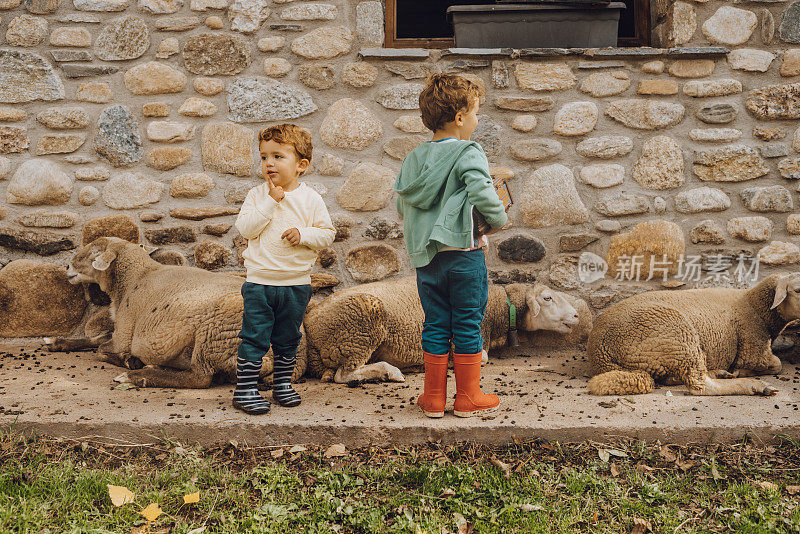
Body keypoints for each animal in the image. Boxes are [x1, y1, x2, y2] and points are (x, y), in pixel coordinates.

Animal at [46, 239, 306, 390]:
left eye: (92, 254)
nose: (67, 268)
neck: (135, 278)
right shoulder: (119, 330)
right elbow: (96, 339)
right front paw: (57, 342)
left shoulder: (125, 333)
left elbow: (101, 349)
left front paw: (129, 361)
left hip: (213, 333)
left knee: (201, 377)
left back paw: (138, 375)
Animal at [302, 276, 580, 386]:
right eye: (547, 298)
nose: (577, 315)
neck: (497, 308)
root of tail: (310, 318)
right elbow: (482, 358)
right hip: (357, 330)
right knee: (343, 375)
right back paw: (391, 372)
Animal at [584, 274, 800, 396]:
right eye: (797, 289)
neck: (754, 305)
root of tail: (600, 353)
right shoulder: (754, 350)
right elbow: (776, 365)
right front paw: (743, 372)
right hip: (678, 336)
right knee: (700, 386)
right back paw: (756, 386)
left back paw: (720, 373)